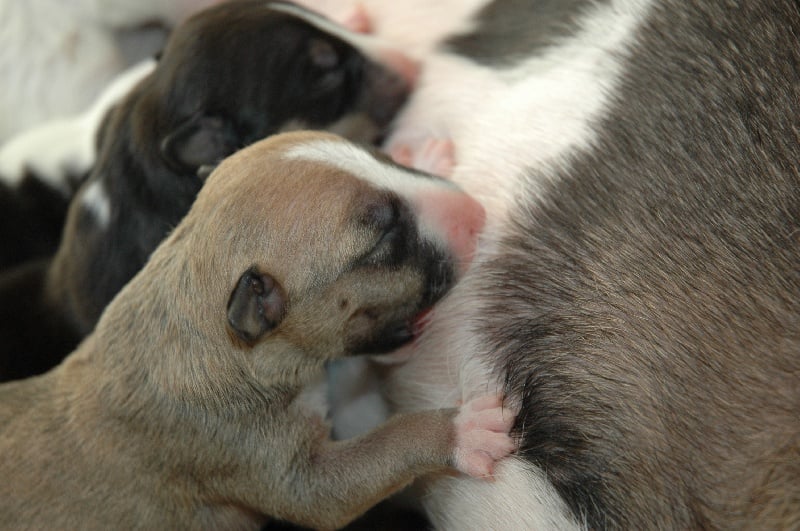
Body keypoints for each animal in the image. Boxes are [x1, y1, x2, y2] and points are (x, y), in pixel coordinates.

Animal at [0, 130, 518, 529]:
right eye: (383, 240)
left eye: (379, 154)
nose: (476, 213)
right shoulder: (253, 458)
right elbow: (357, 468)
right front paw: (462, 430)